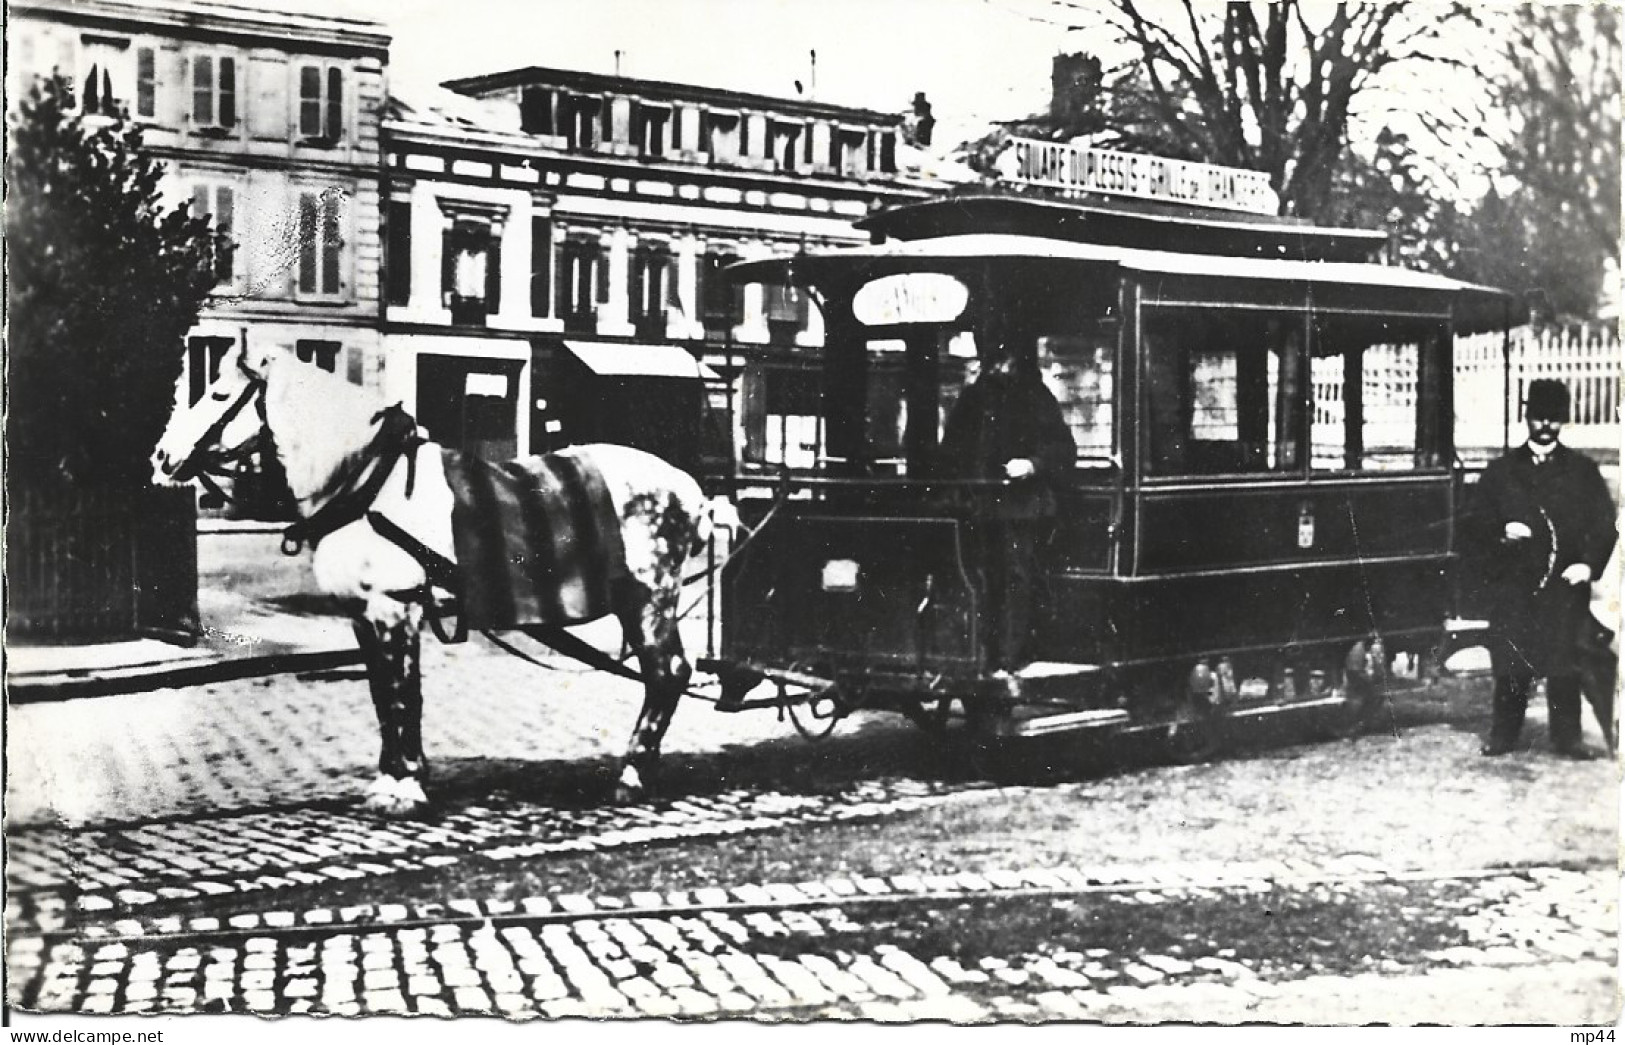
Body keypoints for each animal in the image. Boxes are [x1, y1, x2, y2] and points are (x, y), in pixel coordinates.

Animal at [151, 342, 711, 819]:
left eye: (218, 394)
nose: (161, 457)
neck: (367, 484)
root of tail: (690, 488)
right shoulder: (364, 616)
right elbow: (384, 695)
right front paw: (392, 779)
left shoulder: (395, 608)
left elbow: (403, 694)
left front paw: (405, 788)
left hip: (648, 601)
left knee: (667, 673)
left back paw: (633, 775)